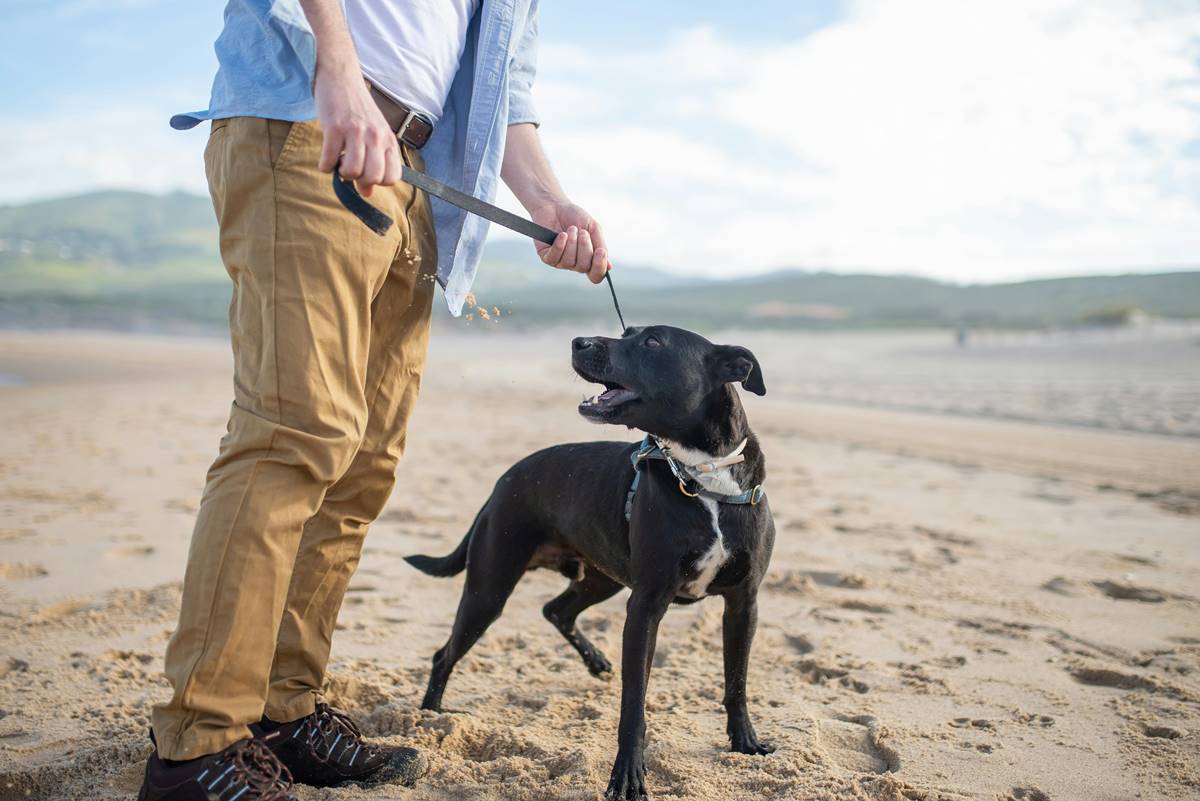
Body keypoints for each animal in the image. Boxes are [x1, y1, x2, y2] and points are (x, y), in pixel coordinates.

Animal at [405, 323, 777, 796]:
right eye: (627, 332)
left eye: (652, 341)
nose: (578, 341)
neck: (703, 476)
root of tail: (505, 478)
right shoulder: (645, 607)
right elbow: (634, 704)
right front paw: (627, 775)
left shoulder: (743, 603)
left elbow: (737, 681)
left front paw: (745, 741)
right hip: (489, 589)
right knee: (446, 653)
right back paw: (429, 715)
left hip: (603, 578)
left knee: (556, 609)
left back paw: (595, 660)